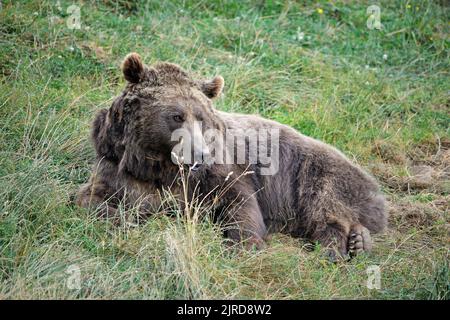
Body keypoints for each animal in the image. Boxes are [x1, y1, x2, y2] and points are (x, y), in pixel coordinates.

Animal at [76, 52, 386, 258]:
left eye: (201, 117)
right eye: (176, 115)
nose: (199, 154)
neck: (158, 166)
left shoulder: (221, 172)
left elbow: (239, 204)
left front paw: (246, 244)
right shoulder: (116, 166)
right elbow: (90, 198)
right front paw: (122, 215)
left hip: (317, 173)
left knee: (327, 209)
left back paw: (336, 248)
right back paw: (359, 241)